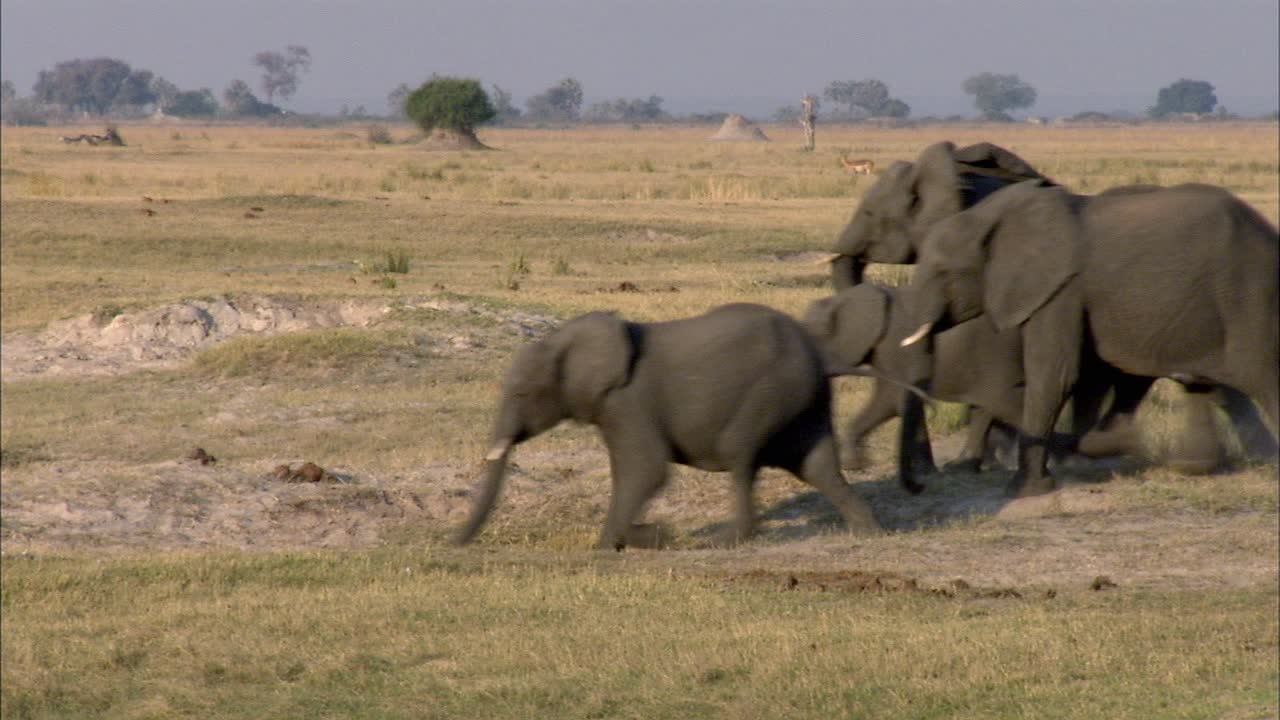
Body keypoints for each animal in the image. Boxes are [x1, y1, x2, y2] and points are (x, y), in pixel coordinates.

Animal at [455, 299, 885, 545]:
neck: (562, 339)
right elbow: (629, 472)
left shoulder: (628, 402)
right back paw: (868, 532)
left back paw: (727, 540)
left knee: (741, 453)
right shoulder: (613, 408)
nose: (453, 542)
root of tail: (818, 357)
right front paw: (619, 542)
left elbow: (647, 472)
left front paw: (652, 535)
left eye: (522, 394)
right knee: (816, 464)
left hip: (771, 391)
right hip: (802, 399)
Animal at [798, 283, 1152, 489]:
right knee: (990, 406)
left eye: (815, 338)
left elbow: (890, 401)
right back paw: (967, 465)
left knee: (1004, 403)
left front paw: (854, 463)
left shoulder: (894, 347)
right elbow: (893, 401)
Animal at [901, 178, 1280, 491]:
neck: (991, 218)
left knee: (1262, 377)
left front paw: (1025, 488)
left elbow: (1056, 375)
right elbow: (1083, 379)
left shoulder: (1061, 292)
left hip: (1251, 298)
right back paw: (1197, 462)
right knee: (1198, 384)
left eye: (943, 272)